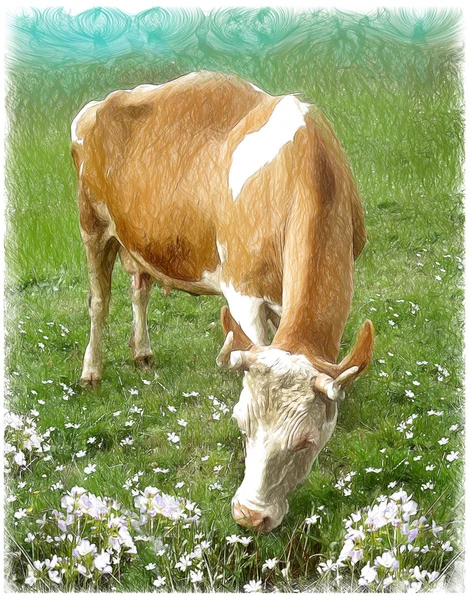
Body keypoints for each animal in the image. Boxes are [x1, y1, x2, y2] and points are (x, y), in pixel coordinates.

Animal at [72, 68, 374, 532]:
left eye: (306, 442)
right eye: (241, 425)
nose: (249, 516)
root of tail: (101, 103)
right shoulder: (242, 292)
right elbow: (253, 347)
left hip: (138, 239)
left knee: (139, 288)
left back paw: (142, 352)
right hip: (92, 223)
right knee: (98, 301)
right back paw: (92, 371)